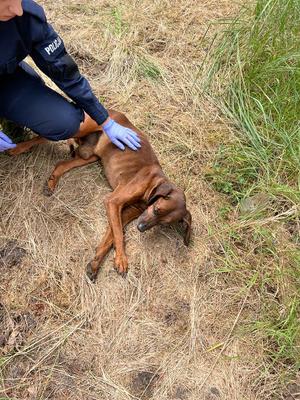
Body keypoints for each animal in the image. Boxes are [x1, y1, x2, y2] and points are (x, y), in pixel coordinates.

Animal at [9, 109, 192, 282]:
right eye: (157, 209)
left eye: (163, 223)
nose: (140, 228)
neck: (154, 183)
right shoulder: (113, 202)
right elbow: (119, 235)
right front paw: (121, 259)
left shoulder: (124, 213)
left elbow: (111, 237)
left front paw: (96, 263)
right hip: (79, 128)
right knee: (42, 137)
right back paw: (17, 148)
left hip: (89, 156)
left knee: (61, 164)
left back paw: (51, 182)